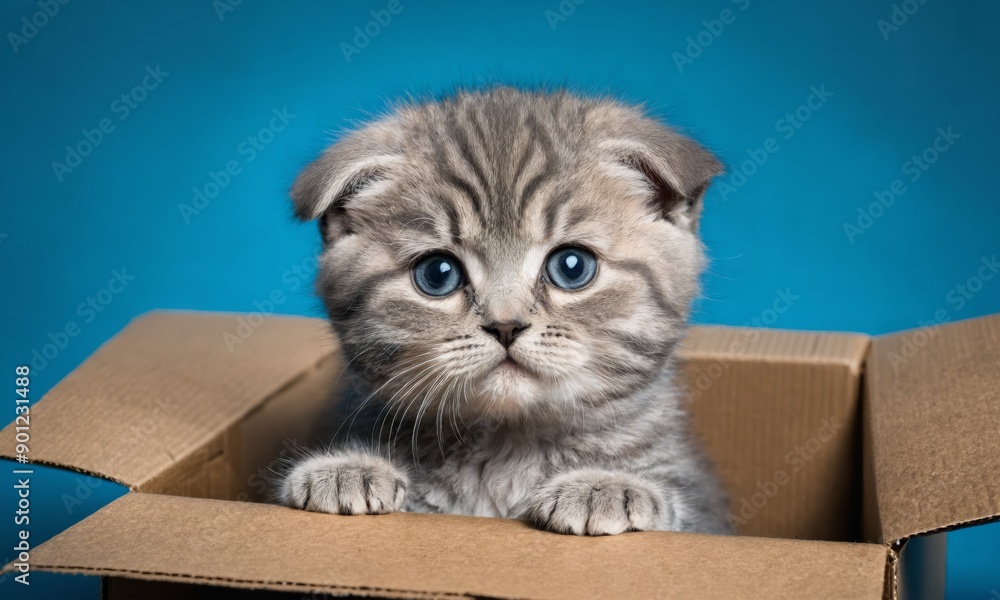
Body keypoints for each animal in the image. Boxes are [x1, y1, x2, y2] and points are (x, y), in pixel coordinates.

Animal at [278, 86, 732, 536]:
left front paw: (605, 485)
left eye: (572, 266)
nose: (506, 326)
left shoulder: (706, 514)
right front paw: (347, 469)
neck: (507, 448)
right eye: (437, 273)